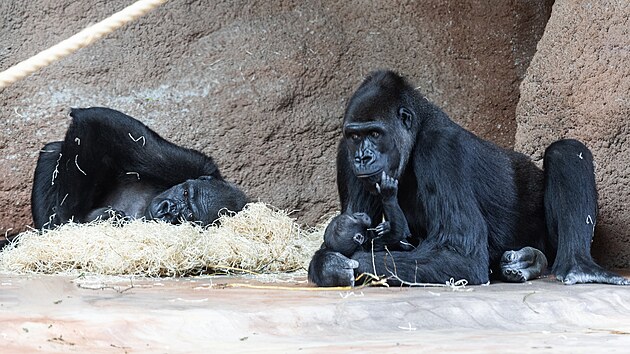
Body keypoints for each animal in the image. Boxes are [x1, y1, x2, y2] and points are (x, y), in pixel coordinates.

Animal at [32, 108, 248, 228]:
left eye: (187, 216)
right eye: (185, 193)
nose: (168, 208)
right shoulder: (196, 164)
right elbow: (96, 120)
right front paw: (70, 217)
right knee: (54, 150)